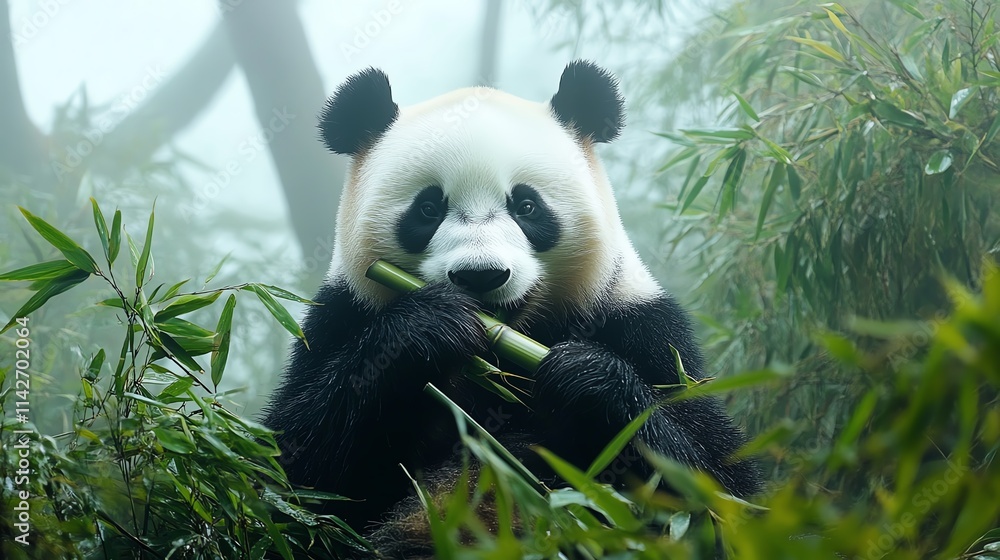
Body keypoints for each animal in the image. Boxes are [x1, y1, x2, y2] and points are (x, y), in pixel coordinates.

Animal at [263, 60, 761, 556]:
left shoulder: (642, 328)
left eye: (526, 206)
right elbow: (296, 476)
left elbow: (718, 492)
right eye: (428, 209)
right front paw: (430, 326)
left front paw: (586, 379)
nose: (480, 275)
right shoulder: (340, 317)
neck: (502, 352)